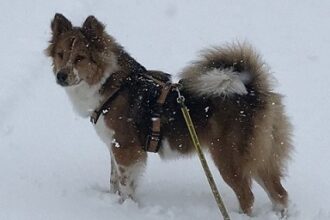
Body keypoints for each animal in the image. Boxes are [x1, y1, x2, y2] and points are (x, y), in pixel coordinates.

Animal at [45, 13, 292, 215]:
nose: (61, 76)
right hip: (259, 155)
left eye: (80, 58)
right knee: (279, 194)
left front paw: (126, 209)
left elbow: (125, 185)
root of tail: (252, 89)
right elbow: (114, 180)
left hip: (229, 157)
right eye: (60, 54)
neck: (112, 84)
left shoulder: (126, 149)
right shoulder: (113, 146)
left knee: (248, 197)